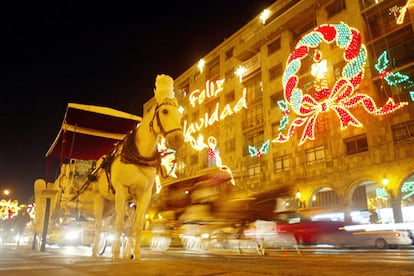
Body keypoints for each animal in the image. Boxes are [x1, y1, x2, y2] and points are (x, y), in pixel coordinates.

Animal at [92, 74, 183, 260]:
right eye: (164, 111)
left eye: (179, 113)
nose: (178, 139)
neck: (139, 156)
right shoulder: (121, 190)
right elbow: (119, 225)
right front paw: (116, 253)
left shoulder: (143, 195)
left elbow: (137, 227)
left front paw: (136, 255)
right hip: (101, 198)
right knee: (99, 225)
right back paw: (95, 251)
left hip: (121, 202)